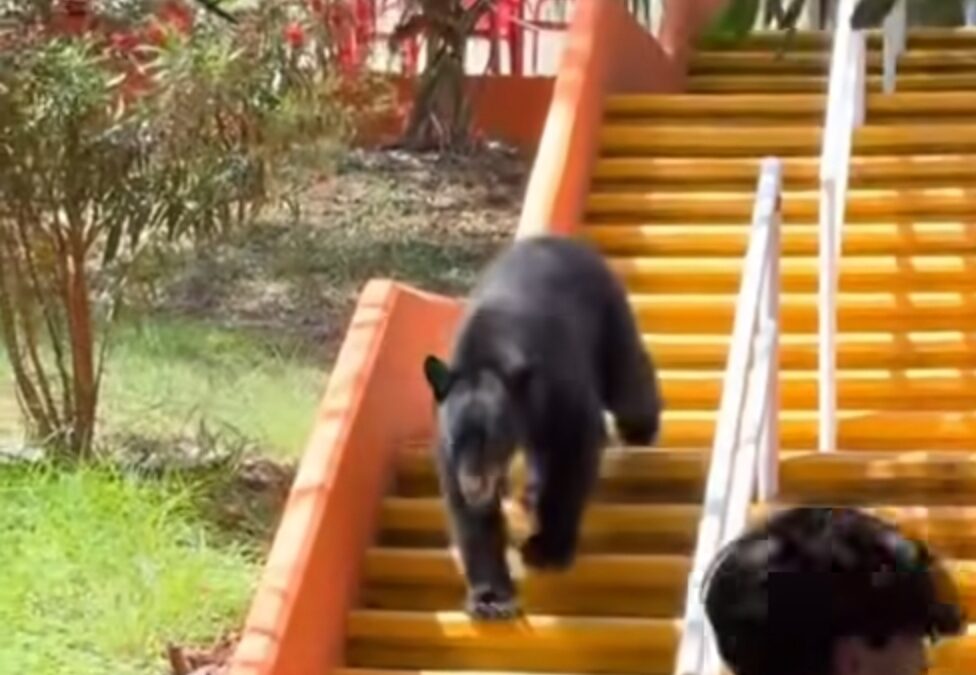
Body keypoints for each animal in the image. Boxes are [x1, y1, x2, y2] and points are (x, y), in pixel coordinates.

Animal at [422, 235, 663, 621]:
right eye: (457, 440)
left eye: (493, 441)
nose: (475, 485)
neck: (487, 355)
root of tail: (566, 241)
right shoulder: (448, 444)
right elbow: (466, 512)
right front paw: (491, 598)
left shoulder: (558, 384)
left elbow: (573, 452)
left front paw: (547, 549)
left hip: (607, 317)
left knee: (627, 384)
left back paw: (640, 430)